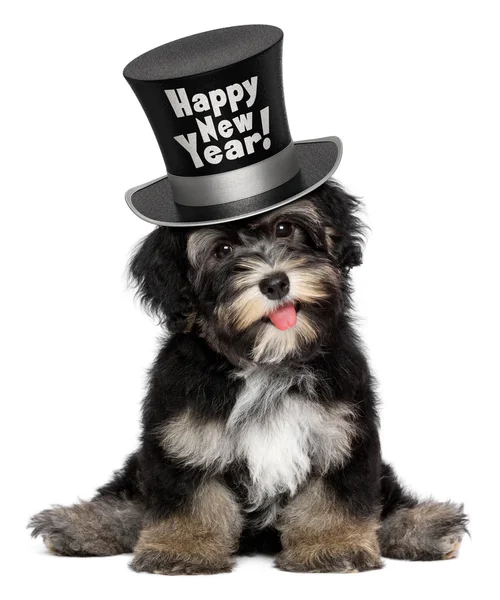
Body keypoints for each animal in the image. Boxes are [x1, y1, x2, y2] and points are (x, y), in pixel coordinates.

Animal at [29, 182, 466, 572]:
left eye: (285, 228)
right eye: (222, 251)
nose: (275, 282)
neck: (265, 361)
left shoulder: (341, 431)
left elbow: (336, 496)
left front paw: (332, 546)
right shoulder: (182, 435)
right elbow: (188, 497)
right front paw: (183, 549)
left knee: (387, 498)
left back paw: (425, 527)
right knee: (132, 497)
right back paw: (80, 525)